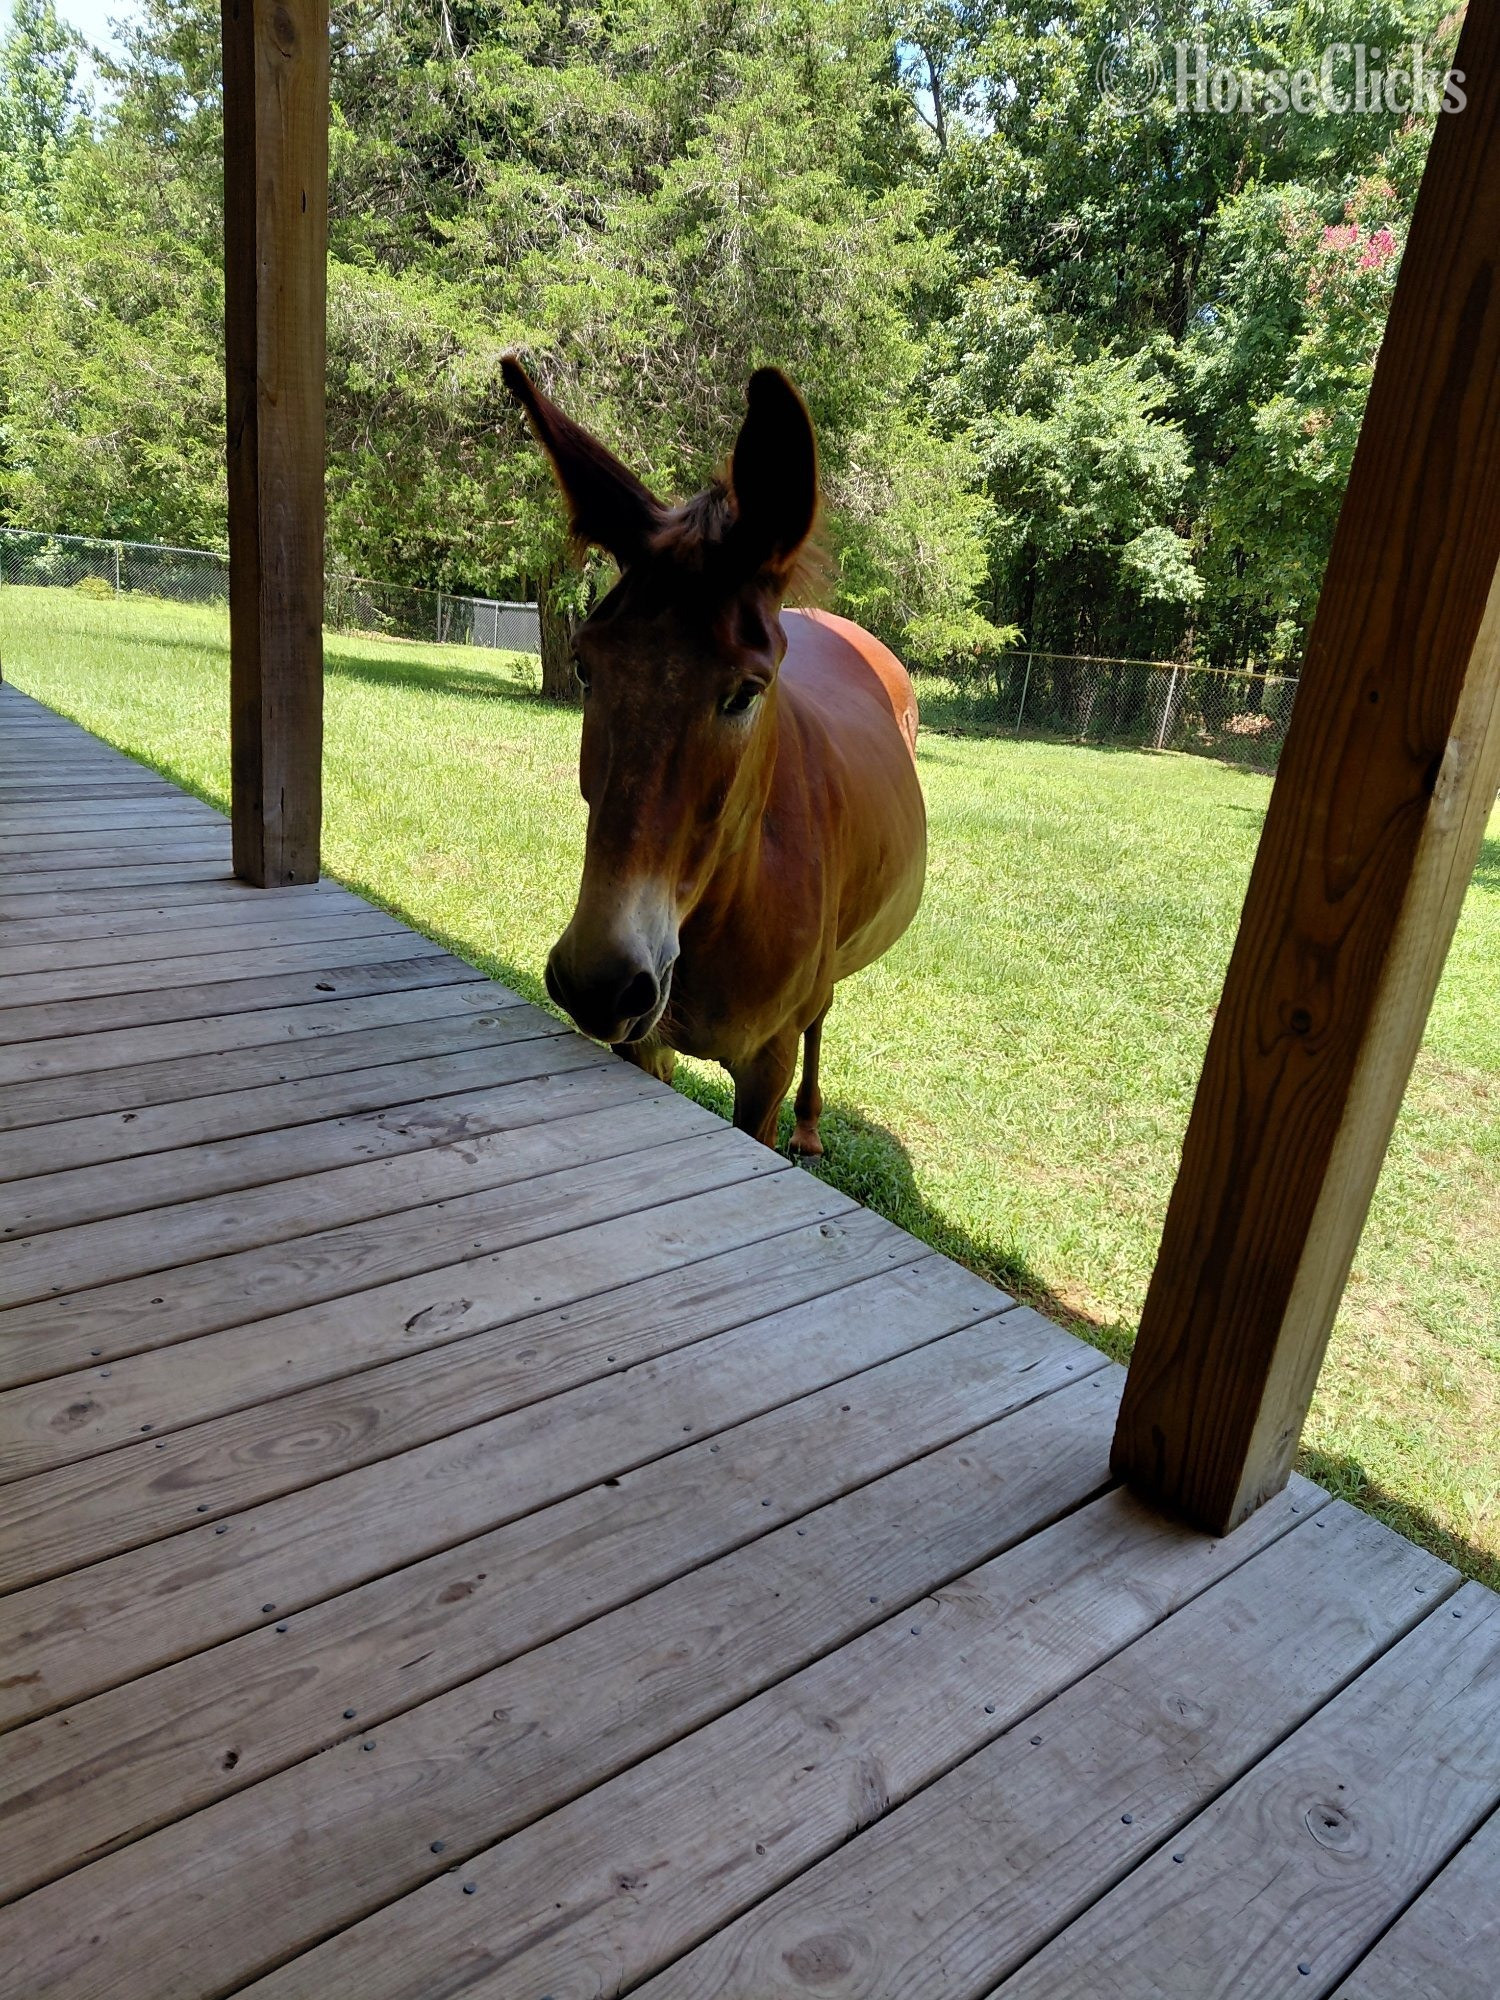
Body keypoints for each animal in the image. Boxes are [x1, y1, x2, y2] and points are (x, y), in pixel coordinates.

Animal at [503, 357, 927, 1156]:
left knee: (823, 1014)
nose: (599, 979)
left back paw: (811, 1128)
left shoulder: (765, 1067)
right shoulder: (640, 1045)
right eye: (585, 667)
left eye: (745, 694)